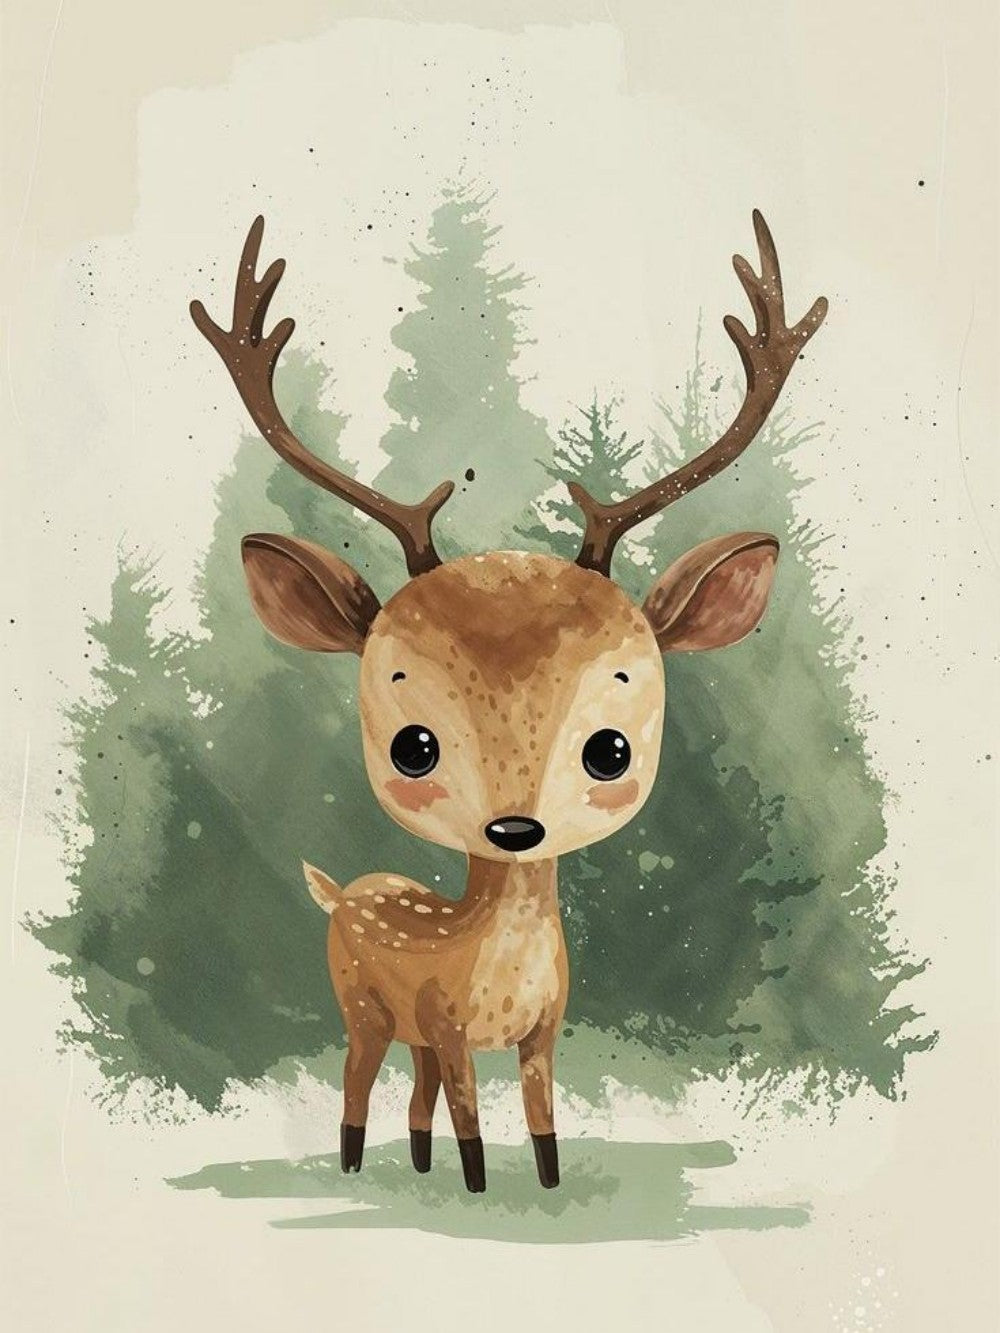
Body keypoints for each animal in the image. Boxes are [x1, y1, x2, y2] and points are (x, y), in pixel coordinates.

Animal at [190, 210, 826, 1194]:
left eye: (610, 748)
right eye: (414, 746)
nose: (515, 827)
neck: (495, 973)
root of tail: (340, 893)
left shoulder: (544, 1029)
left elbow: (540, 1115)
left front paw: (550, 1185)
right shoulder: (446, 1022)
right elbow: (471, 1118)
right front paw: (482, 1187)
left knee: (410, 1096)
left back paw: (411, 1162)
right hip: (364, 1007)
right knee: (359, 1079)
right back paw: (354, 1162)